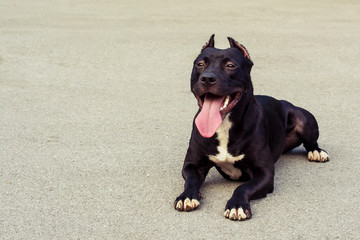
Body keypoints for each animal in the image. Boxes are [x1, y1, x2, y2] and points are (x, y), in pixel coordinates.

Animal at [174, 34, 330, 220]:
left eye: (230, 65)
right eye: (200, 64)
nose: (207, 78)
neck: (225, 125)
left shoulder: (264, 173)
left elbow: (243, 187)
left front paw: (237, 205)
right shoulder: (192, 166)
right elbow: (190, 181)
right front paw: (187, 196)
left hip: (304, 119)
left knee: (311, 142)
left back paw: (317, 152)